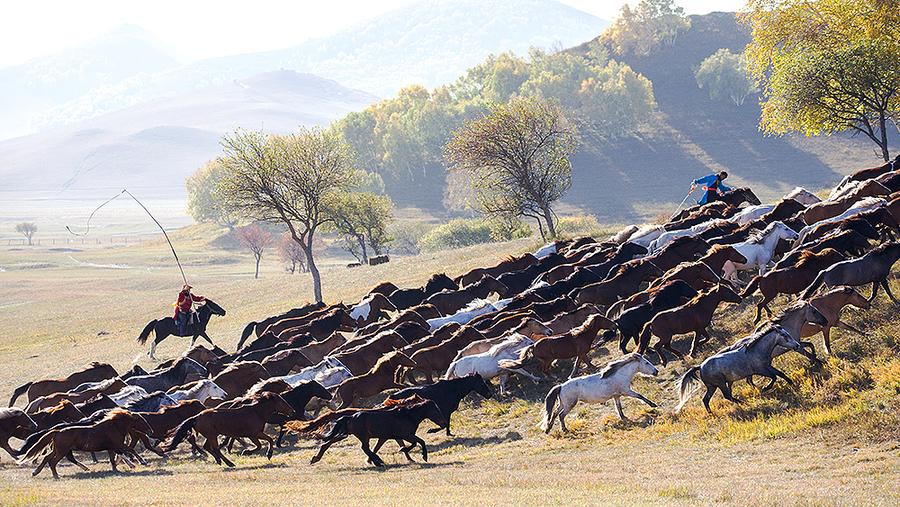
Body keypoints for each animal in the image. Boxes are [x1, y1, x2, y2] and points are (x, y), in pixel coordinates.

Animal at [164, 392, 292, 468]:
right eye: (281, 400)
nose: (292, 410)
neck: (257, 412)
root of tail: (196, 417)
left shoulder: (254, 434)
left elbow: (263, 443)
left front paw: (248, 451)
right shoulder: (254, 434)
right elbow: (266, 442)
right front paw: (259, 453)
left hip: (211, 435)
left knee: (208, 447)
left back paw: (219, 460)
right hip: (212, 435)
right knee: (215, 448)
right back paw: (229, 463)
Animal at [676, 302, 828, 412]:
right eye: (814, 311)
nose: (825, 321)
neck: (757, 350)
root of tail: (700, 366)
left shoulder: (769, 365)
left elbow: (781, 373)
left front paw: (792, 383)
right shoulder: (764, 369)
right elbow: (776, 375)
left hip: (714, 385)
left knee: (708, 399)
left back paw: (713, 412)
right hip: (719, 383)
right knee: (728, 394)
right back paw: (744, 401)